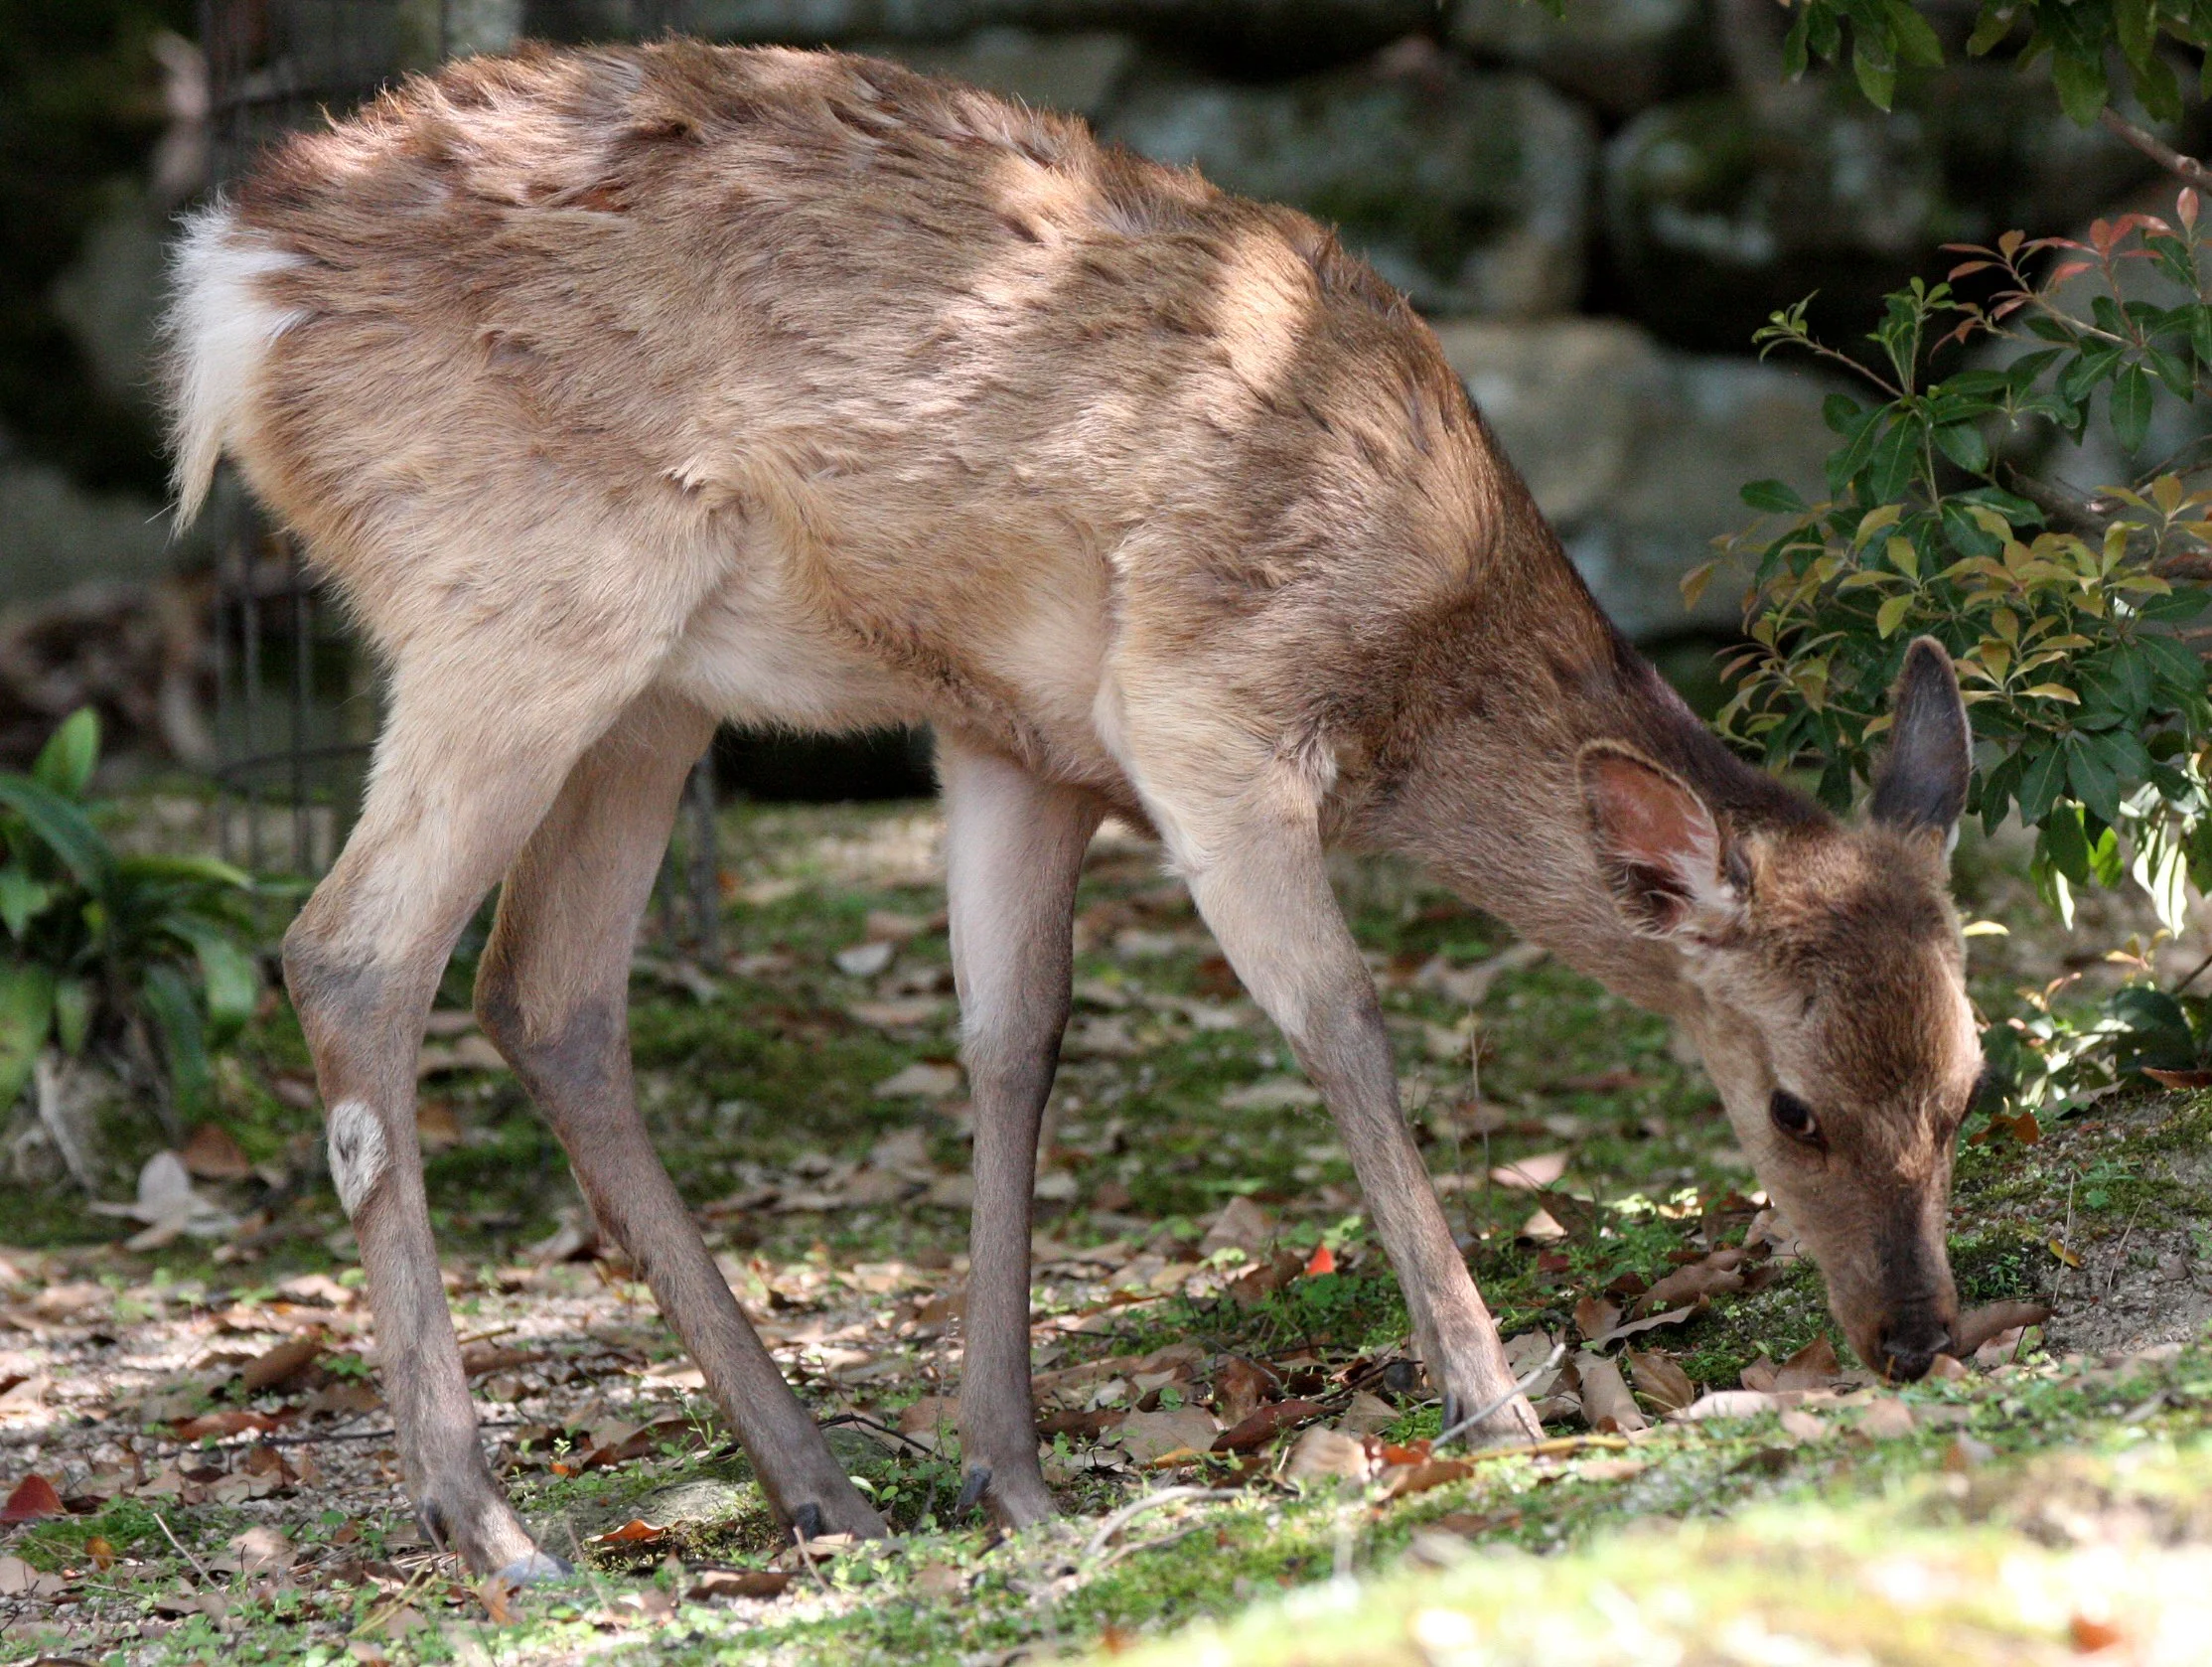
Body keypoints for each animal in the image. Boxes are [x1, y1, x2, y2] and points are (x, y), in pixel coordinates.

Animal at [163, 41, 1985, 1581]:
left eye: (1964, 1084)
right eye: (1791, 1108)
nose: (1912, 1338)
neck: (1413, 652)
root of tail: (224, 290)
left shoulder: (1017, 740)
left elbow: (1014, 1040)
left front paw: (1012, 1467)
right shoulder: (1197, 709)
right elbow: (1341, 1021)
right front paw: (1490, 1402)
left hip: (648, 690)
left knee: (545, 991)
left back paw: (818, 1482)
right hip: (513, 601)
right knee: (350, 954)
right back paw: (491, 1521)